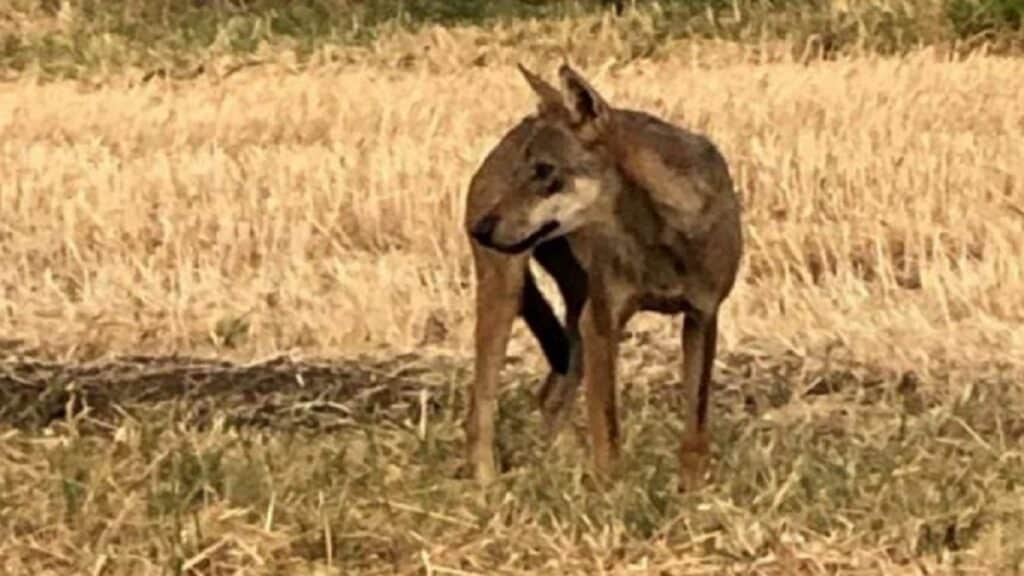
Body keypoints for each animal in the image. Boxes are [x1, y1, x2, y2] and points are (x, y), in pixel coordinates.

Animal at [464, 63, 743, 491]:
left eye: (544, 171)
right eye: (519, 172)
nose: (480, 228)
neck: (661, 234)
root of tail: (509, 132)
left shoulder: (702, 317)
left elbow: (695, 429)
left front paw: (692, 494)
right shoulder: (603, 323)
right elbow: (607, 429)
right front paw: (611, 493)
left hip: (574, 323)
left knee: (549, 398)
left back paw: (559, 470)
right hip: (509, 298)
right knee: (482, 406)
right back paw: (488, 484)